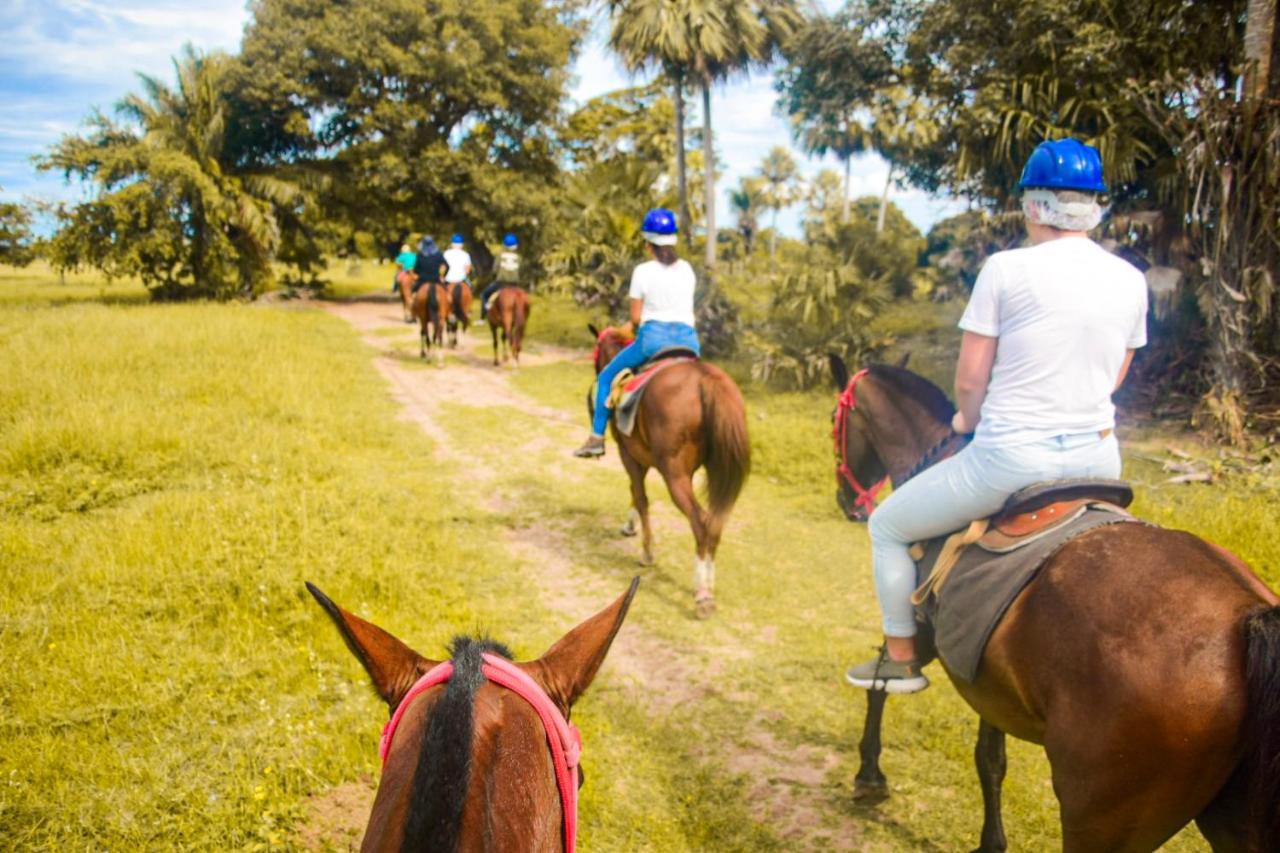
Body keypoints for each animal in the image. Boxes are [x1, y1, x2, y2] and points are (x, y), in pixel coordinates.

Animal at [588, 326, 747, 617]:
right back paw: (708, 583)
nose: (597, 370)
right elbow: (635, 493)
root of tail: (705, 380)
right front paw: (630, 526)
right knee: (715, 522)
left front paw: (647, 551)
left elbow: (640, 497)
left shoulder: (628, 454)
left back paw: (702, 593)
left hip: (674, 474)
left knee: (700, 521)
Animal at [829, 350, 1280, 845]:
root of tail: (1247, 614)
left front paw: (869, 774)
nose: (848, 503)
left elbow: (883, 677)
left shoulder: (927, 632)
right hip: (1235, 821)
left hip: (1100, 815)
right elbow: (990, 758)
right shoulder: (981, 662)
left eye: (834, 421)